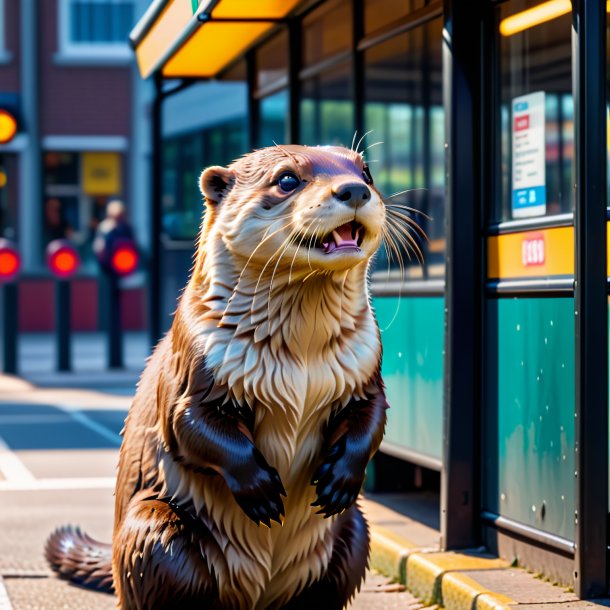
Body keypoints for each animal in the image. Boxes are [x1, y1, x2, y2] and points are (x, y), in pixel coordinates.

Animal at [46, 145, 390, 604]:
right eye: (286, 179)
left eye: (366, 172)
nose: (353, 189)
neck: (301, 363)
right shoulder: (193, 368)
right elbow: (189, 426)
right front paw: (259, 489)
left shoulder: (365, 368)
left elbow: (371, 417)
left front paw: (341, 479)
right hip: (154, 534)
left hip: (353, 533)